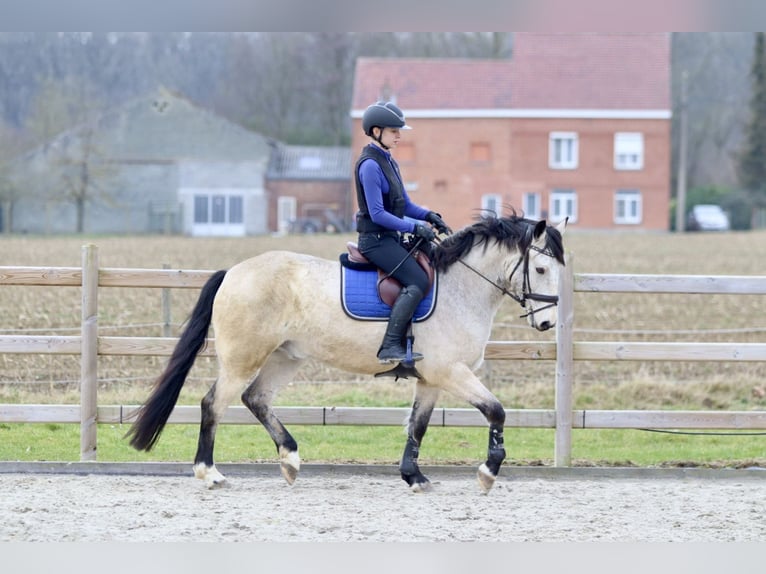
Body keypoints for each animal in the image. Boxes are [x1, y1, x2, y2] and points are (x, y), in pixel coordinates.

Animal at [126, 216, 568, 496]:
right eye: (540, 269)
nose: (548, 323)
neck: (461, 287)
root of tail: (233, 272)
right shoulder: (450, 372)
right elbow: (496, 411)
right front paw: (488, 473)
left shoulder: (431, 380)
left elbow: (418, 427)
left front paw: (414, 477)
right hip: (243, 359)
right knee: (213, 404)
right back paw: (210, 474)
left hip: (286, 357)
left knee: (256, 399)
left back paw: (290, 459)